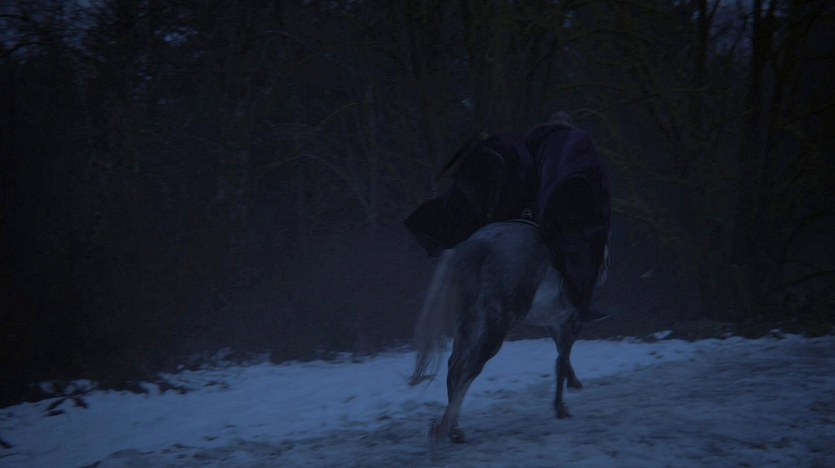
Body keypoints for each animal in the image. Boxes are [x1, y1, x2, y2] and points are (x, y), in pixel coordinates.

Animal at [410, 219, 595, 444]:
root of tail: (476, 245)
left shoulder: (555, 322)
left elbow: (561, 355)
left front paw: (571, 385)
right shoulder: (568, 321)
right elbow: (562, 358)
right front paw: (561, 407)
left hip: (468, 323)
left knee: (454, 366)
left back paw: (454, 430)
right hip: (495, 327)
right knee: (469, 369)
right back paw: (443, 429)